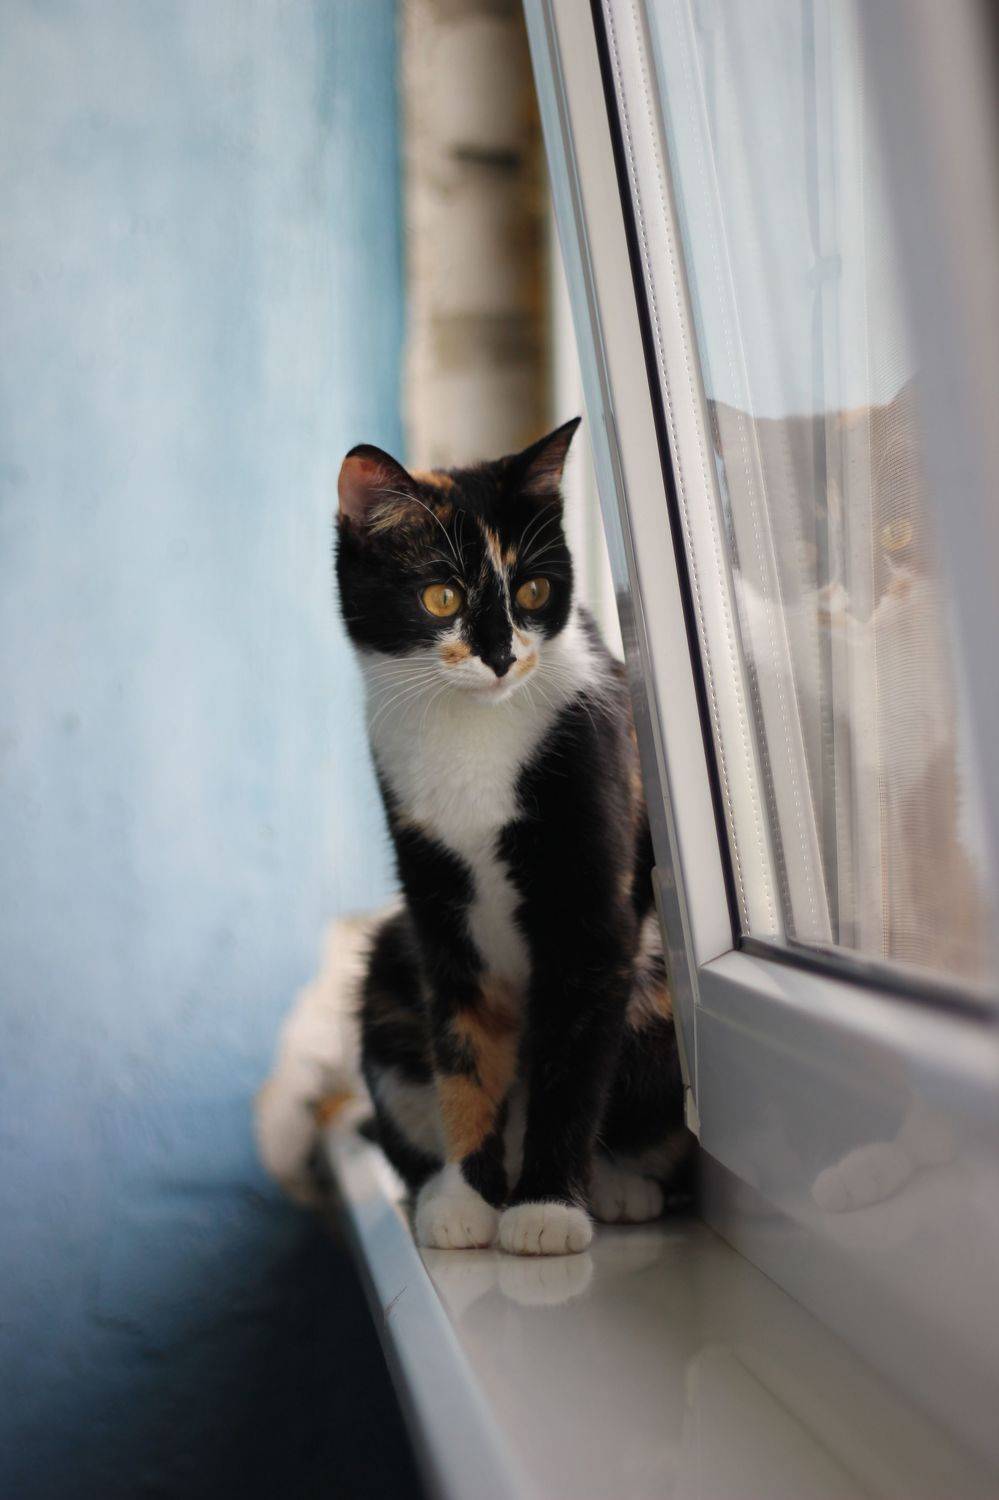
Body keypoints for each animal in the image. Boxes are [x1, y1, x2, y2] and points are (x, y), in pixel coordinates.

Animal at [310, 417, 691, 1256]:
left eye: (533, 591)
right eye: (441, 595)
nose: (500, 654)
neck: (471, 734)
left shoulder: (591, 910)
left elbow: (568, 1064)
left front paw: (545, 1208)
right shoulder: (434, 906)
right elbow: (461, 1048)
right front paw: (467, 1197)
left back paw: (613, 1185)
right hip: (388, 958)